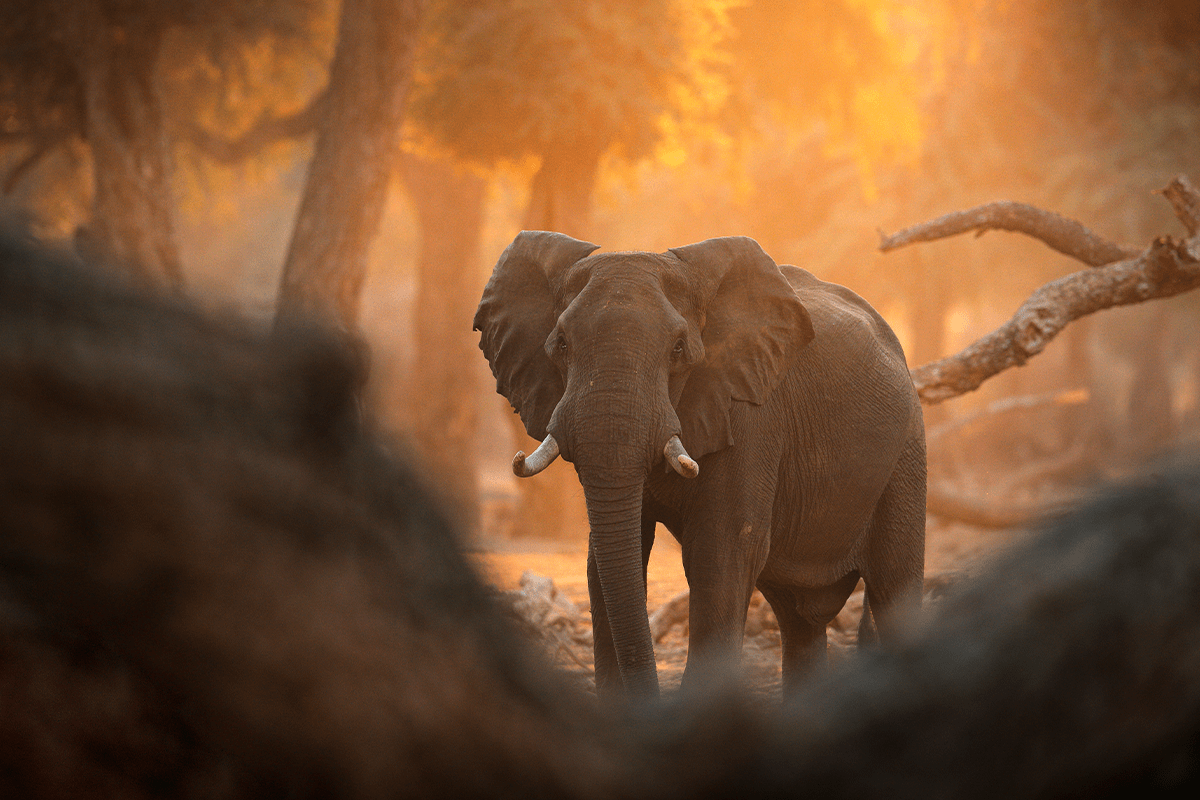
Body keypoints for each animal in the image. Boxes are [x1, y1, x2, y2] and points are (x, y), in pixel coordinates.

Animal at [472, 230, 921, 695]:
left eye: (678, 349)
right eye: (561, 344)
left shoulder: (749, 415)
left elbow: (721, 554)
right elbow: (607, 562)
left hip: (906, 451)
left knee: (894, 587)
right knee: (798, 620)